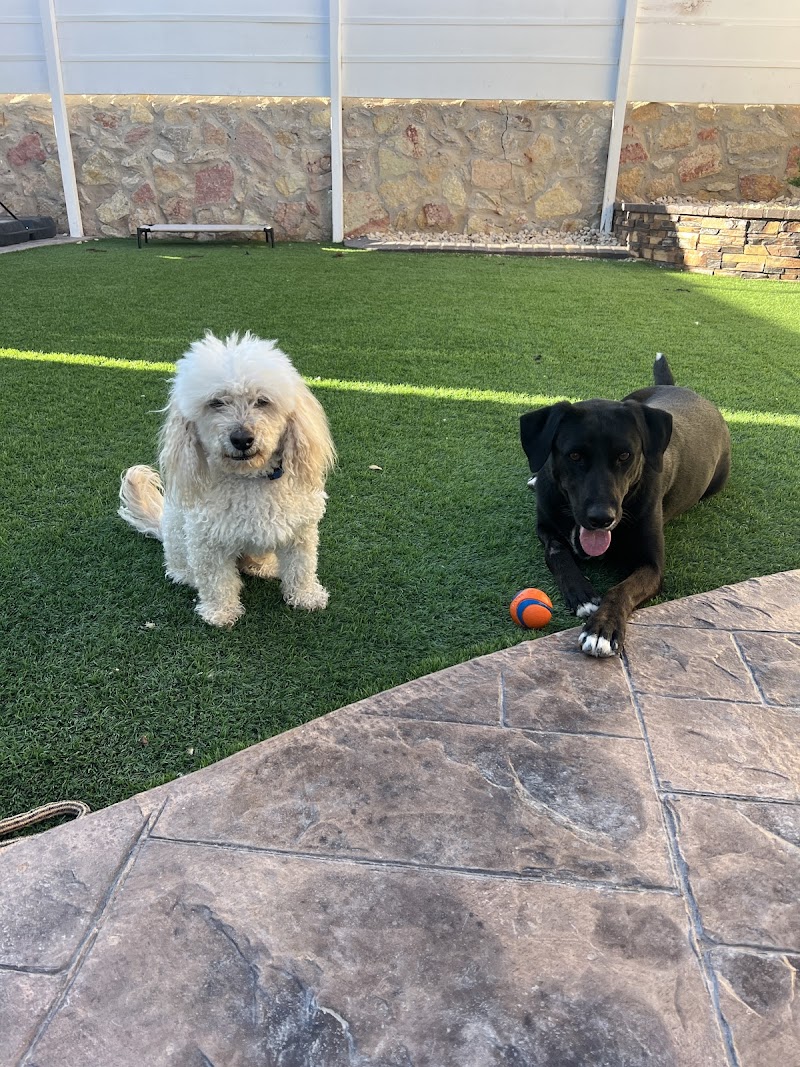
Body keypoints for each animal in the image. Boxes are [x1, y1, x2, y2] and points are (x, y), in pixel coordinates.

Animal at [118, 331, 336, 627]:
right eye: (216, 403)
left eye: (262, 401)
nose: (242, 438)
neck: (249, 480)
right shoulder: (208, 542)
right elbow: (217, 582)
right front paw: (220, 613)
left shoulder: (300, 532)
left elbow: (302, 568)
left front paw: (307, 597)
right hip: (178, 537)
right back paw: (185, 575)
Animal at [520, 354, 730, 657]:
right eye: (574, 455)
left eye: (624, 456)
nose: (601, 518)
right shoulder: (545, 527)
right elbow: (558, 553)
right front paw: (581, 594)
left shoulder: (652, 566)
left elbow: (621, 589)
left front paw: (601, 629)